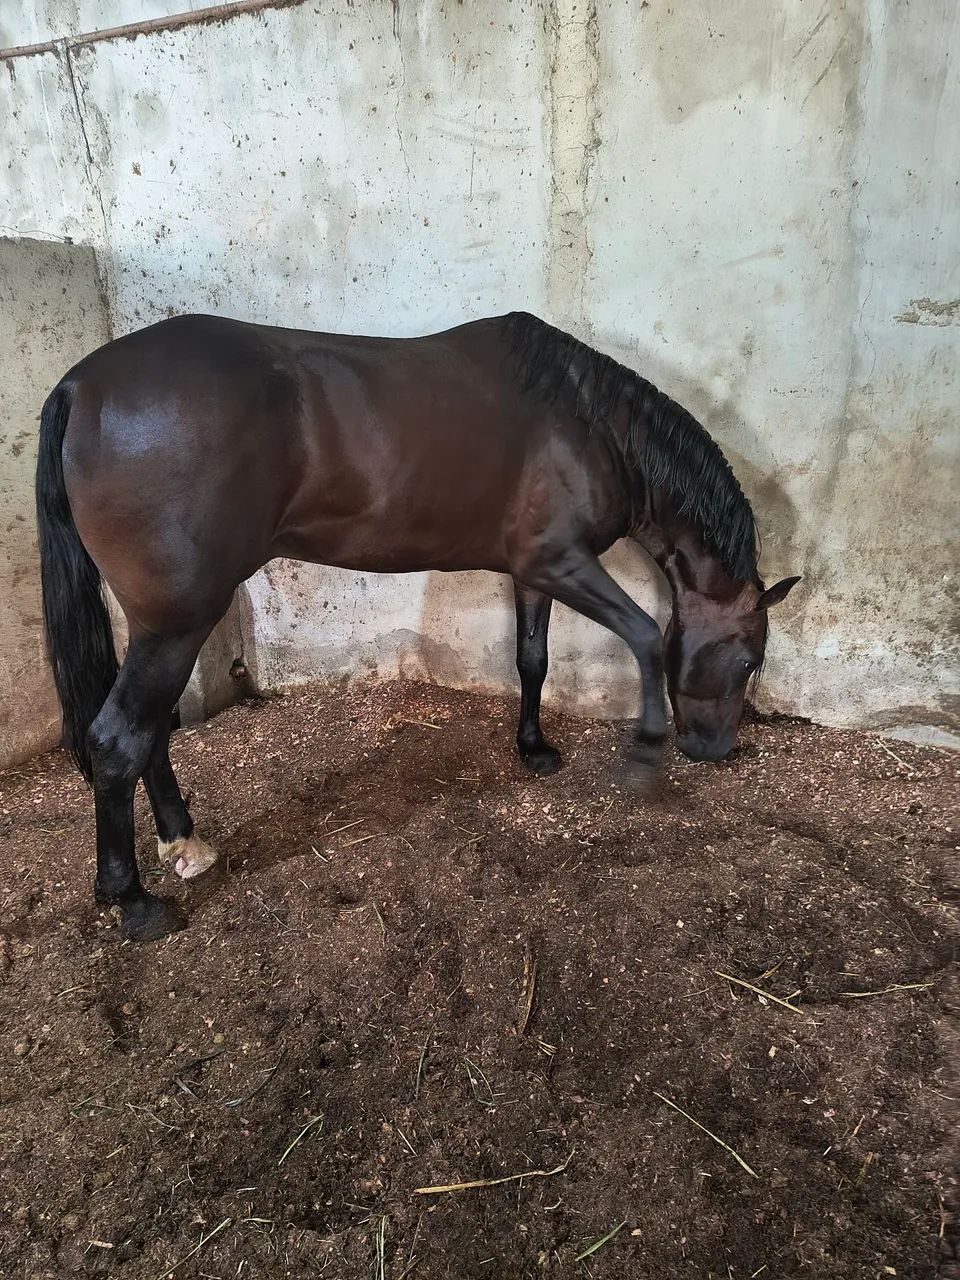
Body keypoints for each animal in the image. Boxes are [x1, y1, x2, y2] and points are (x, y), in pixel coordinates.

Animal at [36, 310, 799, 941]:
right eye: (750, 658)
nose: (717, 749)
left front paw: (534, 749)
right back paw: (133, 901)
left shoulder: (535, 571)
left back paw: (183, 843)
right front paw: (644, 753)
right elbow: (642, 636)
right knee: (118, 739)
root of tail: (81, 385)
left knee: (149, 732)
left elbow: (533, 660)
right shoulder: (564, 563)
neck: (590, 425)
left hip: (163, 623)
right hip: (177, 622)